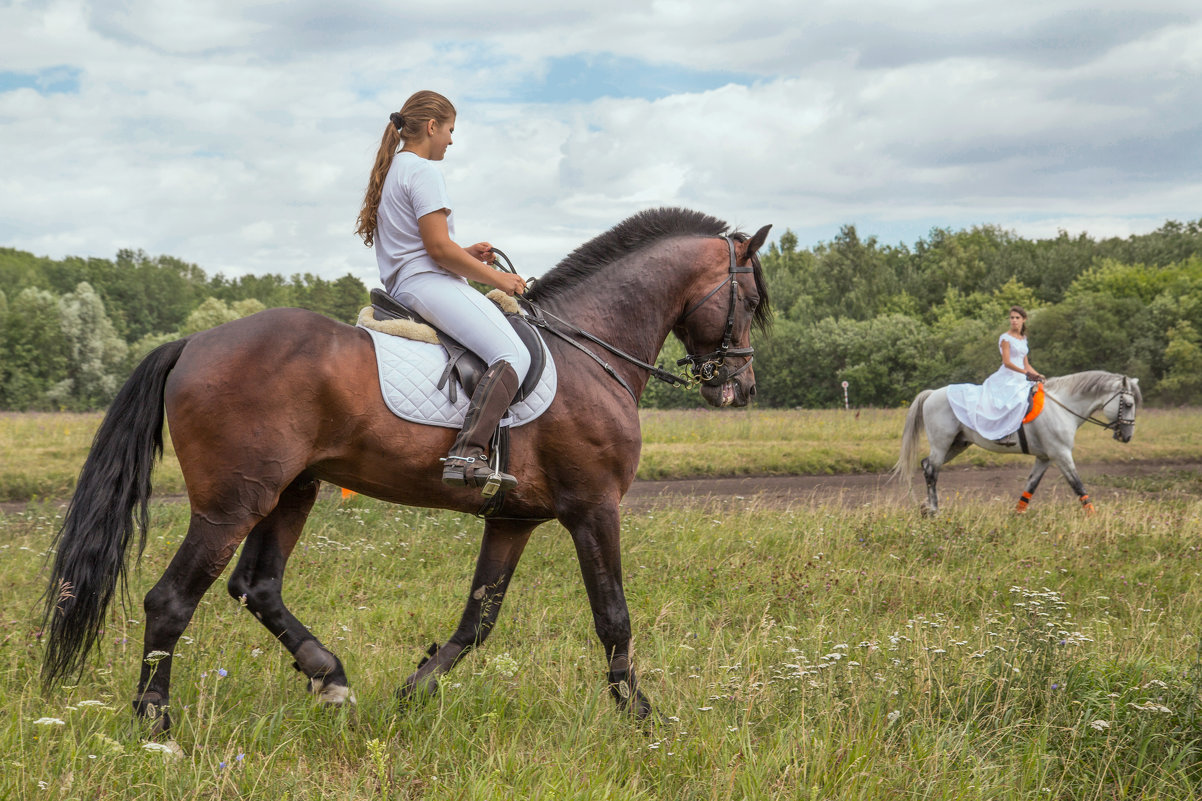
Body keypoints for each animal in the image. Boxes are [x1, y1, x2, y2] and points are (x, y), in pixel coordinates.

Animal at [42, 205, 774, 731]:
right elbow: (613, 615)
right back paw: (155, 721)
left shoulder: (514, 519)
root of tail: (195, 341)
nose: (740, 387)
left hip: (292, 491)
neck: (590, 349)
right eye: (751, 300)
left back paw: (330, 678)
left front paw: (413, 692)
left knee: (257, 585)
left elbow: (478, 619)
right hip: (233, 504)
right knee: (172, 599)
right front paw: (641, 715)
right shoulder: (593, 508)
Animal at [899, 368, 1139, 512]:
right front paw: (1093, 516)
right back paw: (934, 510)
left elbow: (1030, 486)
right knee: (932, 470)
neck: (1062, 406)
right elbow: (1078, 486)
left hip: (957, 445)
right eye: (1128, 404)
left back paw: (926, 507)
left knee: (927, 465)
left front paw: (1016, 516)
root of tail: (932, 394)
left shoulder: (1045, 458)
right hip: (942, 443)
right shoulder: (1061, 454)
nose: (1127, 437)